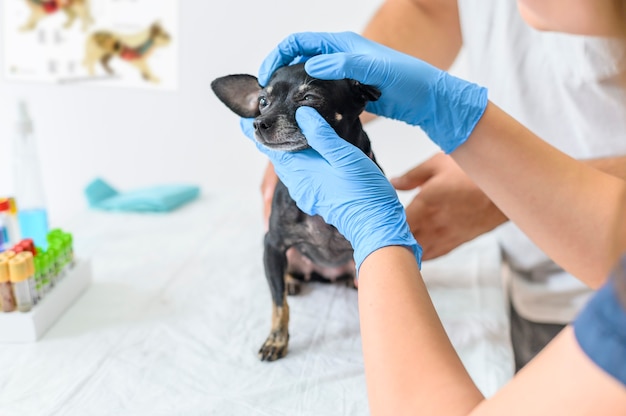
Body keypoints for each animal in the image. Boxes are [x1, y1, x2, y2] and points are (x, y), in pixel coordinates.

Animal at [211, 64, 380, 360]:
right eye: (263, 101)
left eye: (309, 98)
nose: (259, 122)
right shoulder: (273, 245)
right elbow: (279, 304)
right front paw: (276, 340)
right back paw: (290, 280)